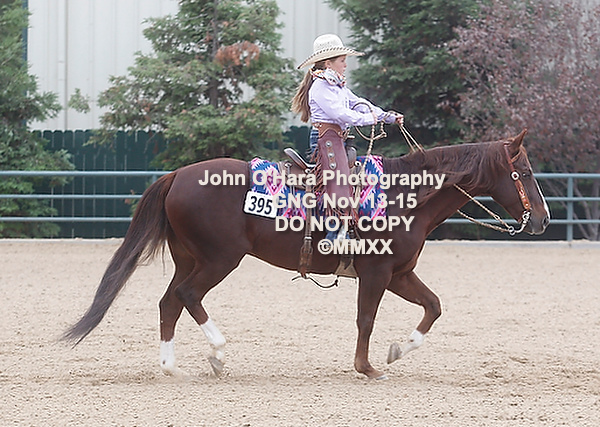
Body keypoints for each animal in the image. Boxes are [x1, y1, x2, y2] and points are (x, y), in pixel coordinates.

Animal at [63, 129, 550, 380]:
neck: (402, 196)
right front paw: (367, 367)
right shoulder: (377, 273)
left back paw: (171, 366)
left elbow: (433, 306)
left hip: (191, 257)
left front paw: (396, 351)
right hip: (219, 259)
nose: (543, 220)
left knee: (169, 301)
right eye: (524, 171)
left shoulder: (399, 273)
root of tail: (178, 175)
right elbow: (366, 318)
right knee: (187, 296)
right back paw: (218, 353)